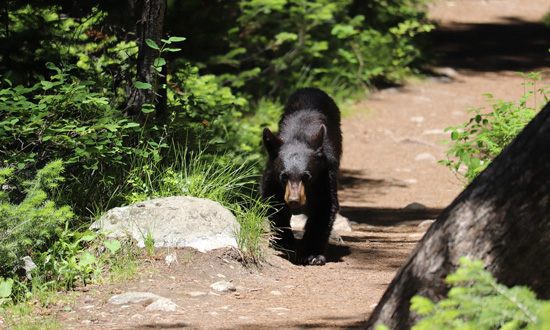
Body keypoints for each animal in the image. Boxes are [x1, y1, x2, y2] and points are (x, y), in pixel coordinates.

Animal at [260, 87, 342, 266]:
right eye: (284, 175)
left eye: (307, 176)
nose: (294, 200)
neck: (299, 137)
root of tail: (311, 89)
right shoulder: (272, 174)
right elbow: (273, 200)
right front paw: (285, 242)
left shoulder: (325, 174)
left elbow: (325, 207)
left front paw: (312, 254)